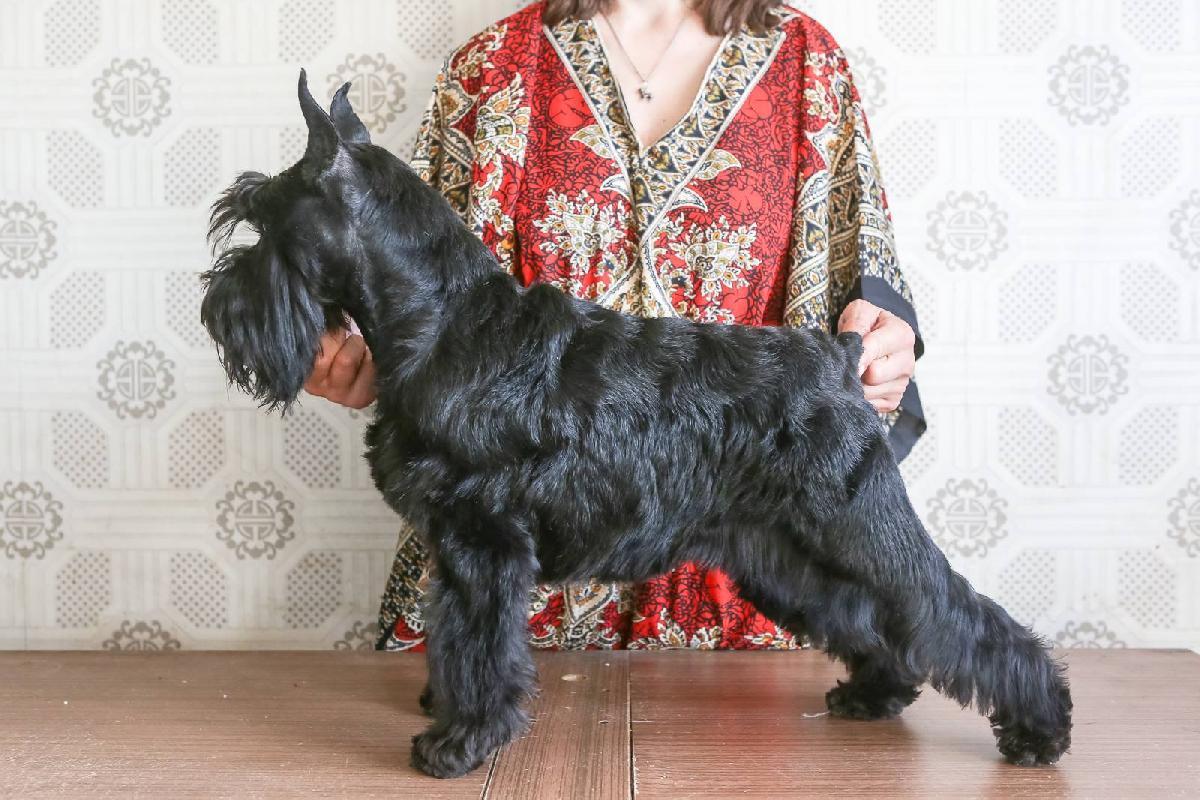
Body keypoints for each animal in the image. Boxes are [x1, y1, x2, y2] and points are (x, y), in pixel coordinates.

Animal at [201, 71, 1072, 778]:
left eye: (259, 219)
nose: (216, 305)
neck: (442, 321)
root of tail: (841, 351)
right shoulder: (461, 547)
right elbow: (456, 640)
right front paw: (448, 715)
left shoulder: (482, 541)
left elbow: (478, 645)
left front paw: (460, 743)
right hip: (792, 554)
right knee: (874, 617)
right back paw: (874, 694)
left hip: (861, 529)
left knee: (960, 617)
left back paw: (1040, 729)